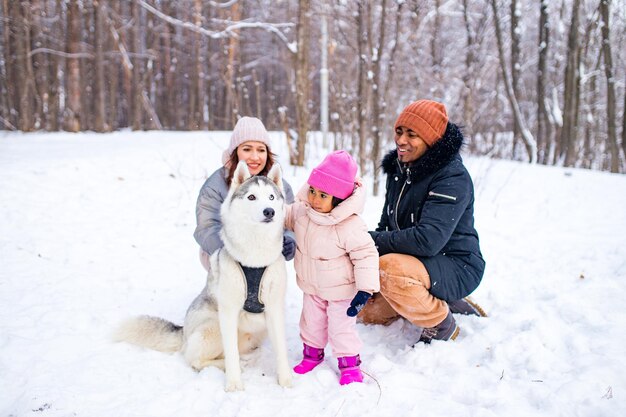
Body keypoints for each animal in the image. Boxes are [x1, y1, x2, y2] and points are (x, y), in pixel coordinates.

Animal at [114, 160, 290, 390]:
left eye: (271, 197)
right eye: (252, 197)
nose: (269, 211)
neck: (255, 257)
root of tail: (183, 332)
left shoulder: (274, 308)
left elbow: (281, 351)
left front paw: (285, 381)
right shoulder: (228, 312)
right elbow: (231, 355)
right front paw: (234, 385)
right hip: (213, 326)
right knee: (197, 359)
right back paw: (230, 365)